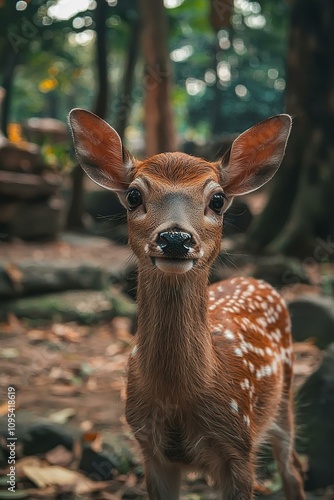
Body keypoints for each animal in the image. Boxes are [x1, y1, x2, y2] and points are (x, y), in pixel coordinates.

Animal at [69, 110, 306, 500]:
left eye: (218, 199)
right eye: (133, 195)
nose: (175, 238)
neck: (179, 397)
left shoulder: (239, 447)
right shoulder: (150, 449)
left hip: (284, 397)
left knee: (294, 469)